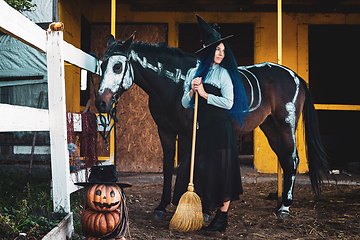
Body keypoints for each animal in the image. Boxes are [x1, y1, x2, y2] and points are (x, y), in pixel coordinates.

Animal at [95, 34, 330, 219]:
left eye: (118, 66)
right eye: (102, 65)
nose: (101, 103)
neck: (176, 84)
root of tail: (295, 76)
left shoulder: (194, 132)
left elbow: (196, 165)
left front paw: (203, 209)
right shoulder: (166, 132)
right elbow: (168, 168)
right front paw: (162, 207)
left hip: (285, 125)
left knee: (293, 159)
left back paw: (285, 207)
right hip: (271, 127)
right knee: (285, 160)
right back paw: (280, 202)